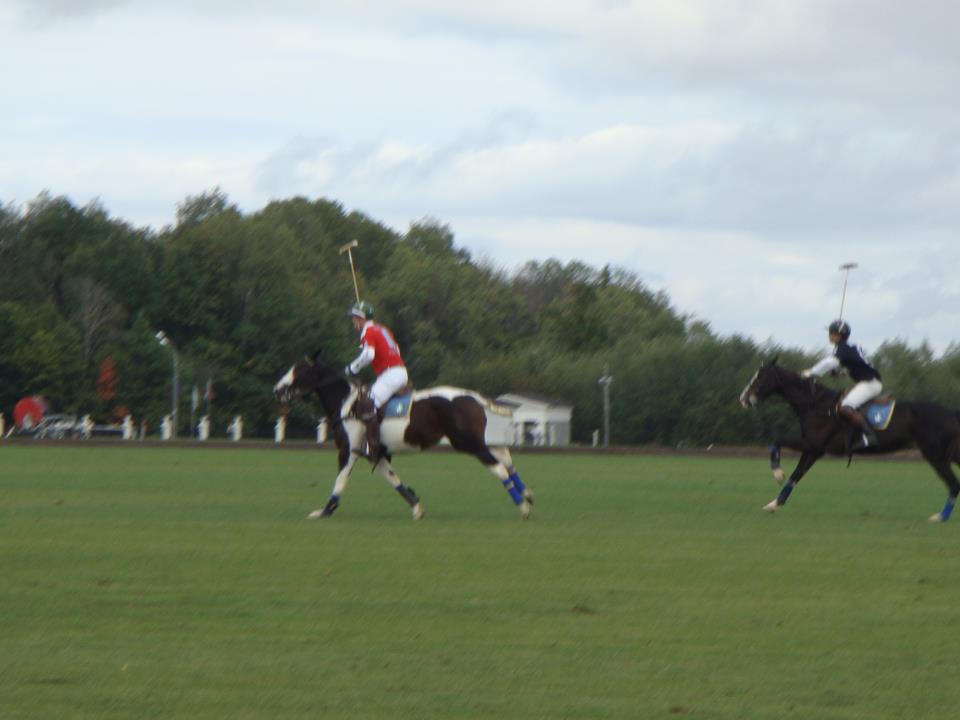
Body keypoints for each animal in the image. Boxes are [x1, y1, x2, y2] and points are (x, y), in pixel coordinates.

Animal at [273, 351, 533, 520]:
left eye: (299, 369)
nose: (277, 390)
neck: (346, 404)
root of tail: (473, 396)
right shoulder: (376, 452)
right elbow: (392, 478)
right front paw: (416, 507)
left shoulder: (348, 450)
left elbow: (341, 480)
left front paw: (325, 510)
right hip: (477, 438)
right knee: (506, 458)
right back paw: (527, 495)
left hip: (466, 442)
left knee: (500, 468)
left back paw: (523, 507)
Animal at [739, 357, 960, 522]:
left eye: (760, 377)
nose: (743, 398)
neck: (815, 405)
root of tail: (951, 413)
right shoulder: (813, 450)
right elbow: (795, 475)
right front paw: (774, 504)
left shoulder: (813, 445)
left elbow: (779, 444)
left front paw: (777, 474)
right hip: (948, 454)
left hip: (936, 455)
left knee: (954, 484)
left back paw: (940, 517)